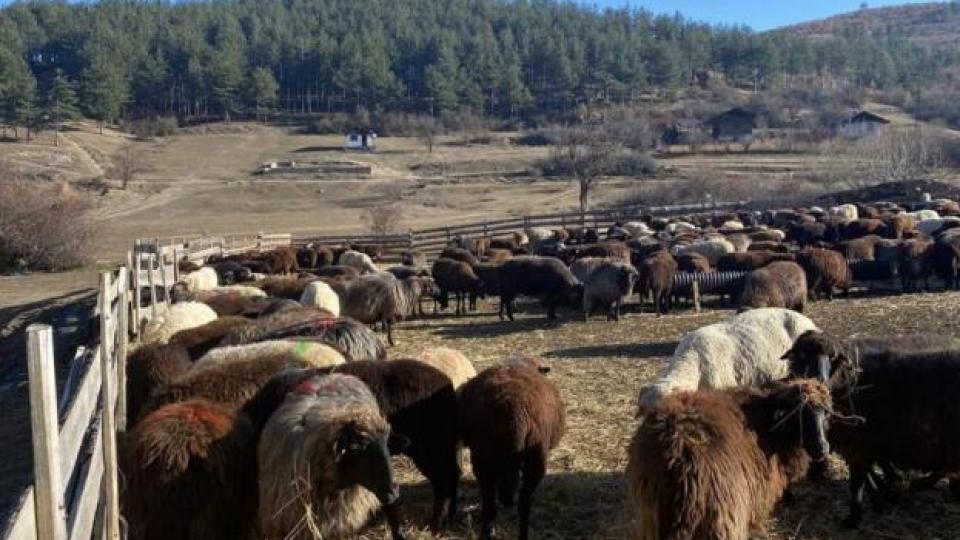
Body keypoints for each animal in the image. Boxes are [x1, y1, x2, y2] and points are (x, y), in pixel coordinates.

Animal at [460, 358, 568, 540]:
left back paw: (488, 532)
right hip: (536, 458)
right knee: (523, 504)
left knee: (489, 504)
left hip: (482, 457)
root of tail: (513, 410)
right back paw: (522, 534)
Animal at [632, 380, 832, 540]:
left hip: (653, 514)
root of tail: (678, 452)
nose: (822, 447)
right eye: (799, 415)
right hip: (723, 514)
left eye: (825, 413)